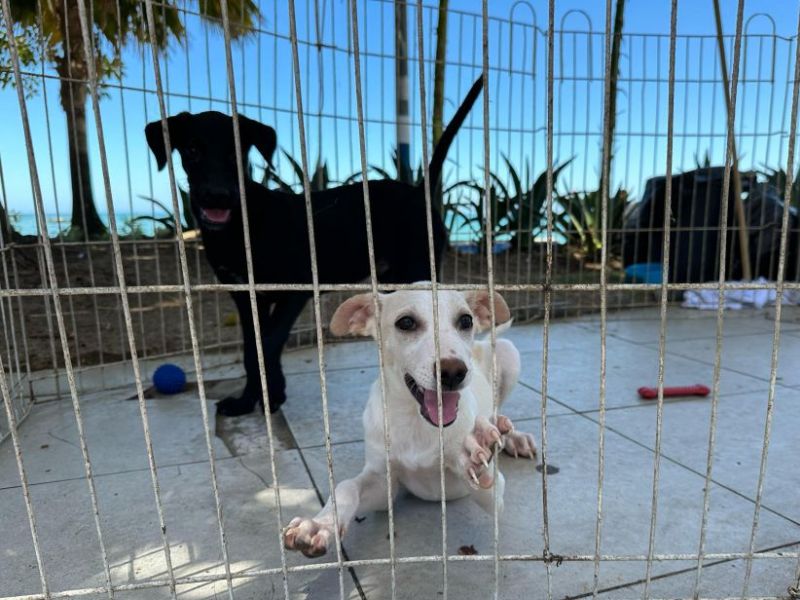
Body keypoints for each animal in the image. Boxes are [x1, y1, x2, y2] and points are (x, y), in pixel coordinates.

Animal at [144, 76, 482, 418]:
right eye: (192, 149)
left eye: (236, 153)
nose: (217, 196)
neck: (244, 225)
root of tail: (418, 191)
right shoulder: (245, 296)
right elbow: (253, 349)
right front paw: (252, 398)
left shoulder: (295, 291)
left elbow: (268, 345)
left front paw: (269, 396)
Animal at [282, 286, 536, 556]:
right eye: (406, 322)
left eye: (466, 321)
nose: (453, 372)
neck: (417, 422)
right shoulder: (384, 486)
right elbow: (346, 487)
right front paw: (319, 524)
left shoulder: (495, 498)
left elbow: (487, 484)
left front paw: (474, 451)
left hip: (508, 352)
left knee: (499, 408)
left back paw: (511, 436)